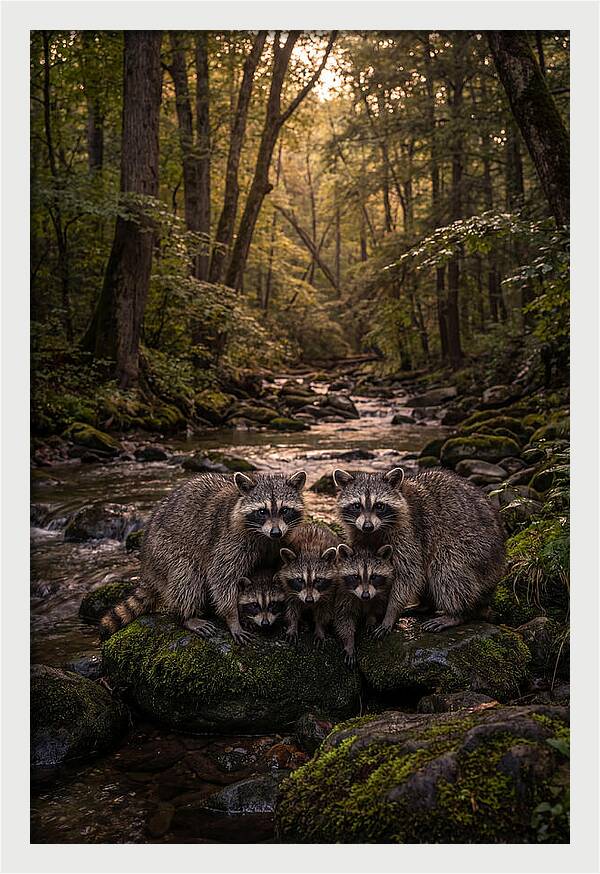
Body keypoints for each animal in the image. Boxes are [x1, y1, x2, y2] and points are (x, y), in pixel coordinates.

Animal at [101, 469, 306, 644]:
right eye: (262, 511)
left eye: (284, 510)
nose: (275, 532)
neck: (264, 537)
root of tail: (146, 564)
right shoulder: (229, 541)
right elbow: (222, 579)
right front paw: (233, 617)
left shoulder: (279, 543)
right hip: (164, 549)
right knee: (186, 577)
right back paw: (187, 616)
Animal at [333, 466, 505, 635]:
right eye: (357, 506)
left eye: (379, 506)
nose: (367, 526)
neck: (375, 531)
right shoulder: (358, 533)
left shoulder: (409, 532)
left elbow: (409, 574)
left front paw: (391, 612)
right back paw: (425, 605)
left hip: (475, 549)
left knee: (447, 569)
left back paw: (456, 613)